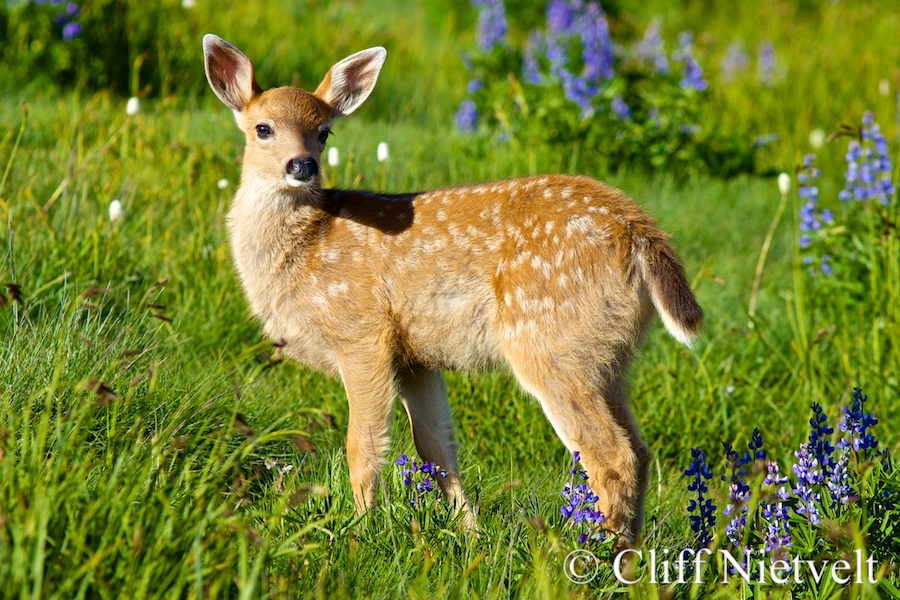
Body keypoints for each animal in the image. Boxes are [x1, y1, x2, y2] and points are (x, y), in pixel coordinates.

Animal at [202, 33, 703, 548]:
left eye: (324, 133)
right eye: (262, 128)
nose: (301, 165)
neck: (307, 250)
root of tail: (637, 230)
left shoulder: (362, 331)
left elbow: (364, 446)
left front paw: (357, 531)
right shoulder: (416, 358)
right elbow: (436, 447)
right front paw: (470, 533)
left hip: (548, 340)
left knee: (610, 454)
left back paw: (592, 551)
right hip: (608, 355)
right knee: (640, 450)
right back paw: (628, 551)